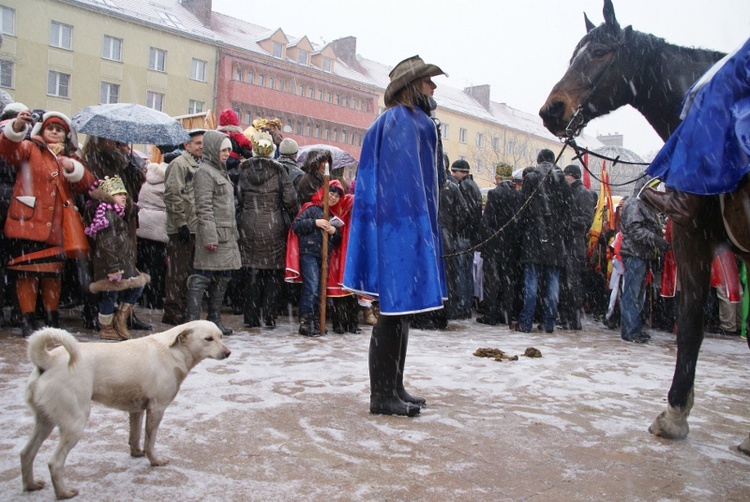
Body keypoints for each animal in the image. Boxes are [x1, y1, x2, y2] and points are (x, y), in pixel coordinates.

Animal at [20, 322, 232, 498]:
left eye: (221, 336)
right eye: (208, 339)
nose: (228, 352)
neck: (174, 351)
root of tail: (47, 360)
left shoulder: (137, 409)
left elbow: (135, 436)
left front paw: (137, 453)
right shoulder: (157, 409)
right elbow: (150, 441)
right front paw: (154, 460)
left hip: (45, 421)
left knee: (26, 453)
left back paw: (31, 485)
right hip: (75, 423)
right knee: (55, 463)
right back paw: (63, 493)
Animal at [544, 0, 748, 454]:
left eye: (599, 52)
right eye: (572, 55)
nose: (552, 110)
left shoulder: (692, 234)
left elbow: (689, 325)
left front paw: (674, 413)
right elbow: (690, 323)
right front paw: (676, 412)